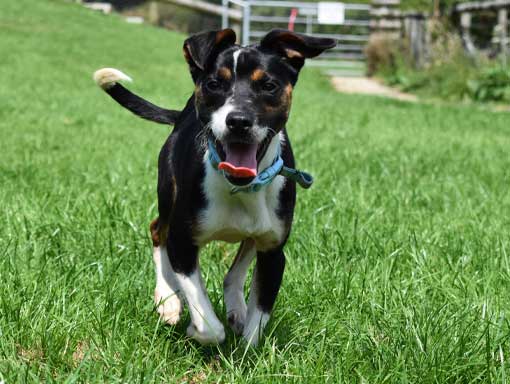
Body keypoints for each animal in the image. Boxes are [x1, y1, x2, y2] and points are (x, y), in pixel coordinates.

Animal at [93, 27, 336, 344]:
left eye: (269, 85)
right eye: (214, 84)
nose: (239, 121)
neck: (239, 188)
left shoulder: (273, 252)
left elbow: (256, 325)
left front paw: (245, 341)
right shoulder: (183, 242)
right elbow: (208, 321)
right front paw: (195, 326)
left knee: (237, 264)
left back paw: (235, 307)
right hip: (168, 192)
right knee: (158, 230)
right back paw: (167, 298)